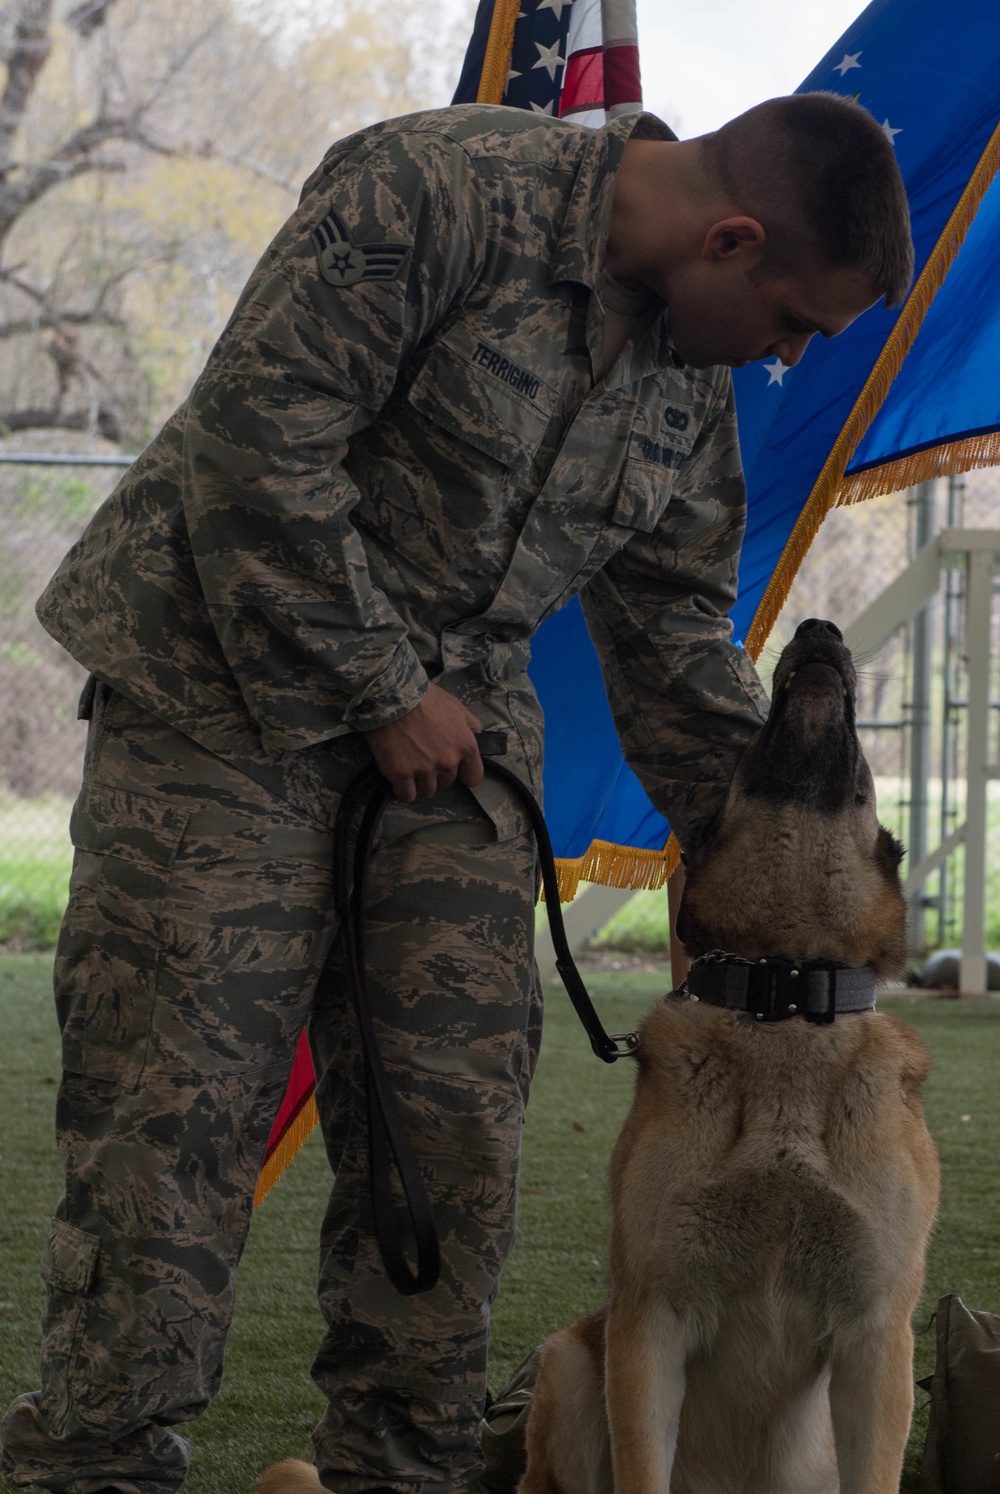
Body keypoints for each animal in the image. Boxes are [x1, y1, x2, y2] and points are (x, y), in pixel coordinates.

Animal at [520, 618, 938, 1494]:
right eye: (749, 743)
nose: (819, 629)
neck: (785, 988)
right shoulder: (648, 1326)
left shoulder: (877, 1340)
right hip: (568, 1364)